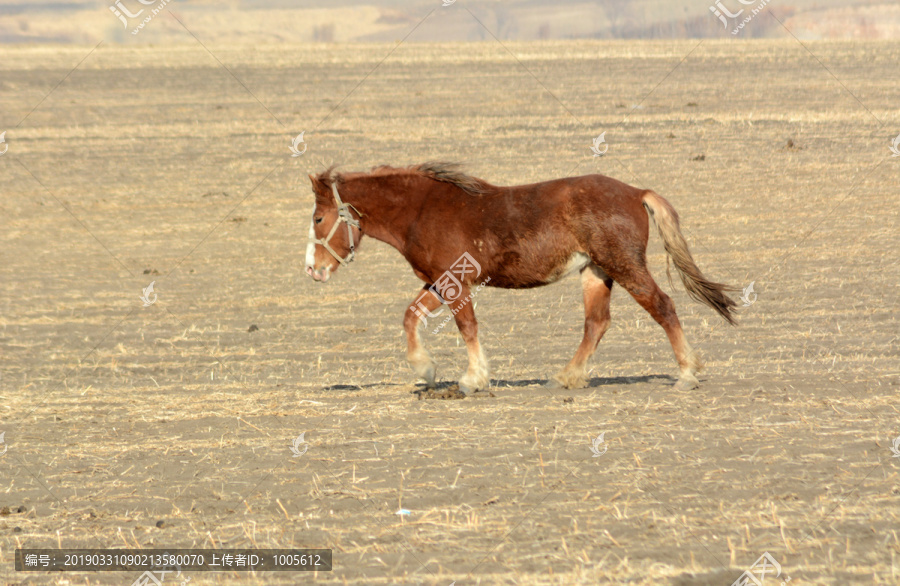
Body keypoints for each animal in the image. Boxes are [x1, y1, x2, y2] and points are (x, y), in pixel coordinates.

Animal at [306, 162, 736, 394]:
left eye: (318, 218)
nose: (313, 269)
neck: (423, 209)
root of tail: (635, 192)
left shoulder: (456, 281)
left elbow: (467, 327)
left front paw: (473, 378)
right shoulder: (437, 281)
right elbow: (411, 316)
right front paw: (425, 370)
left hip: (624, 265)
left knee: (662, 306)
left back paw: (686, 374)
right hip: (596, 272)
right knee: (596, 323)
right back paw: (567, 377)